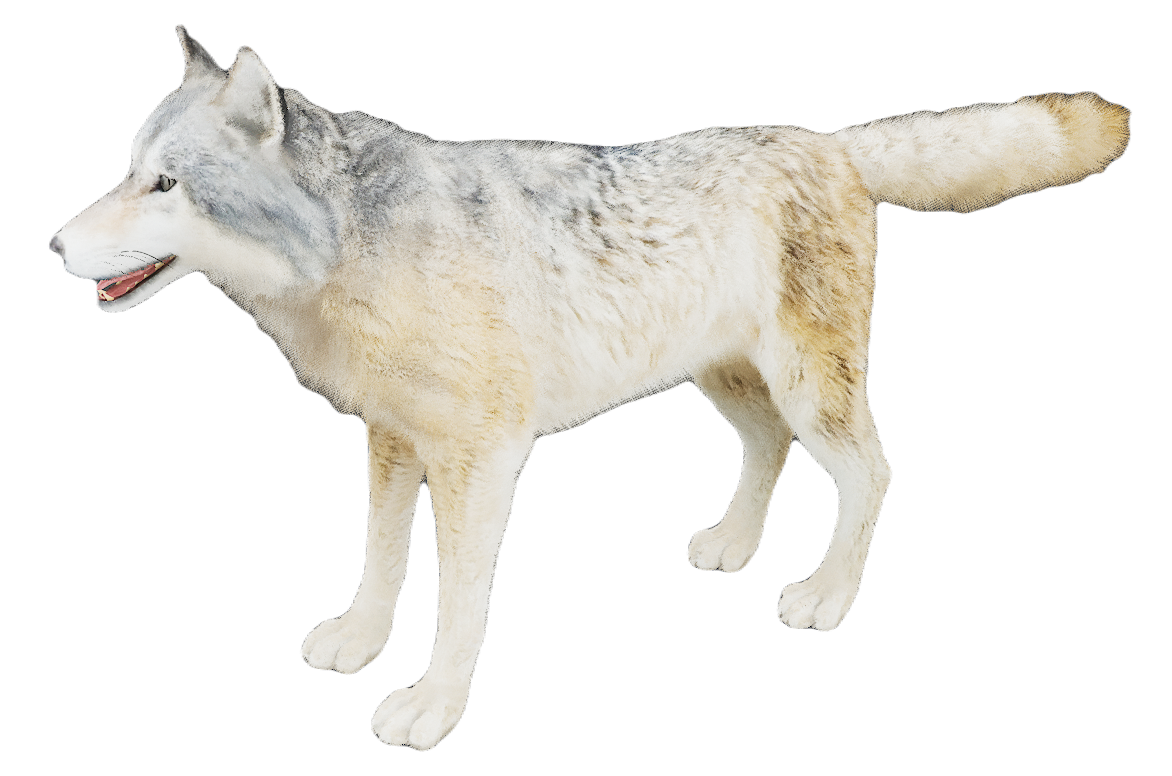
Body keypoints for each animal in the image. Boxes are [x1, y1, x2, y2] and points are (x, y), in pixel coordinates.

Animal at [49, 25, 1130, 750]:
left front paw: (432, 705)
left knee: (873, 474)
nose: (54, 249)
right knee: (768, 449)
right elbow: (381, 563)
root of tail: (829, 140)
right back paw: (733, 546)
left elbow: (457, 601)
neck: (350, 251)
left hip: (807, 389)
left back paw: (825, 595)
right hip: (729, 385)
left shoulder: (483, 461)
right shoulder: (392, 441)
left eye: (165, 186)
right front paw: (359, 641)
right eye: (130, 170)